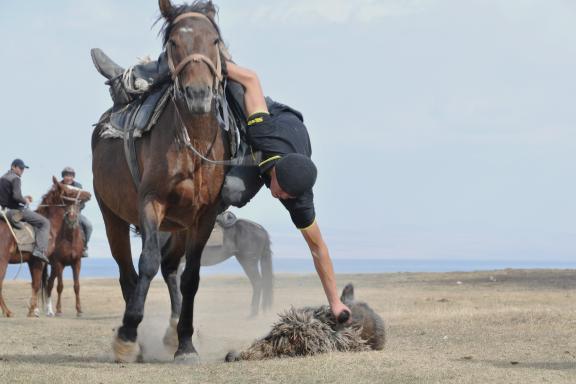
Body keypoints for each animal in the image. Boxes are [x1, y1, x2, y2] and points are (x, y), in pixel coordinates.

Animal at [0, 178, 91, 316]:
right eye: (69, 191)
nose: (89, 194)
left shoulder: (33, 261)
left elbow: (36, 284)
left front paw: (33, 310)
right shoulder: (41, 260)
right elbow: (38, 285)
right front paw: (32, 311)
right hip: (3, 261)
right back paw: (7, 312)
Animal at [92, 0, 230, 364]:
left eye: (214, 41)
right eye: (174, 43)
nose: (198, 95)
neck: (192, 144)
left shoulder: (204, 216)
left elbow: (191, 276)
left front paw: (186, 343)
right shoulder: (150, 203)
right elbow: (147, 263)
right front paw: (127, 335)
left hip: (179, 225)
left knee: (171, 268)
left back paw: (172, 330)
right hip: (113, 217)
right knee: (129, 271)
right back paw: (134, 337)